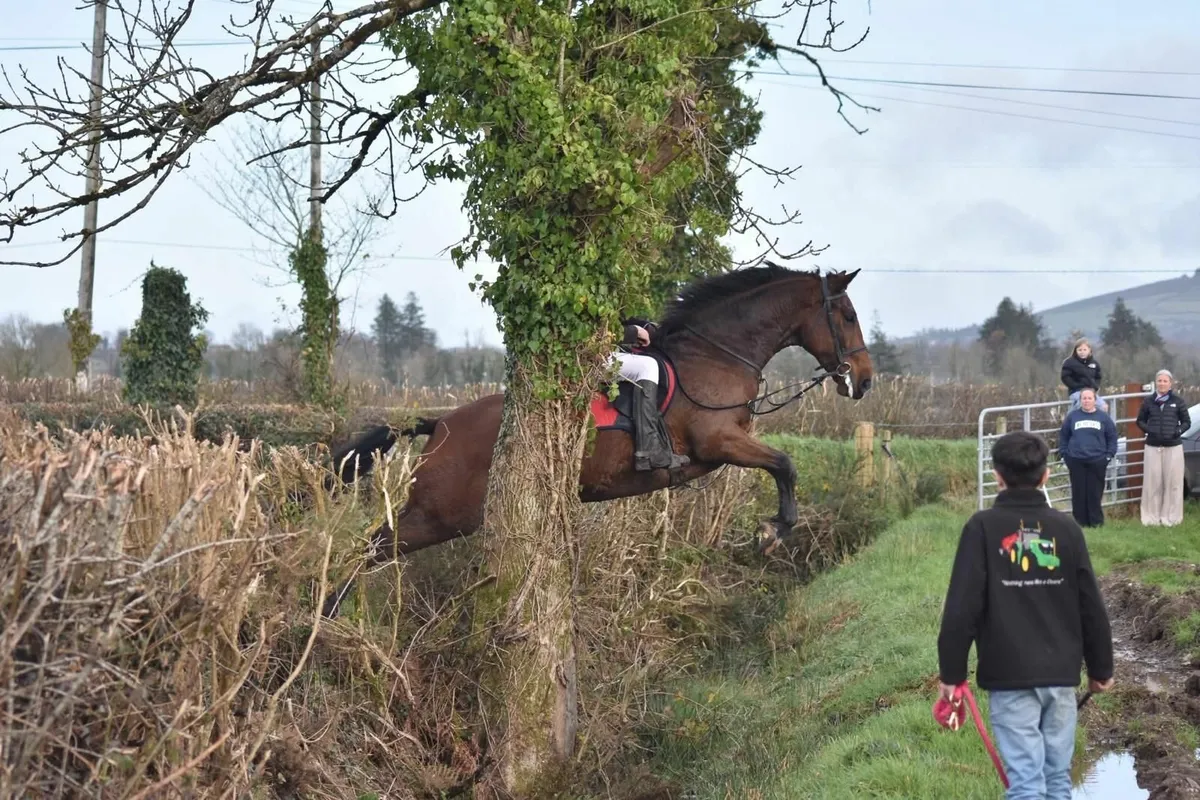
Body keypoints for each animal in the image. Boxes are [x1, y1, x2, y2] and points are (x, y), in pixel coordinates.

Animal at [321, 263, 873, 617]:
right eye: (847, 316)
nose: (865, 382)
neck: (717, 354)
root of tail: (440, 424)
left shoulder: (721, 448)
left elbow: (782, 463)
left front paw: (774, 529)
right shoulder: (718, 442)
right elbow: (784, 463)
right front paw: (773, 530)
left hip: (453, 515)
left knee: (374, 545)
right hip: (443, 513)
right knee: (371, 547)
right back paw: (328, 613)